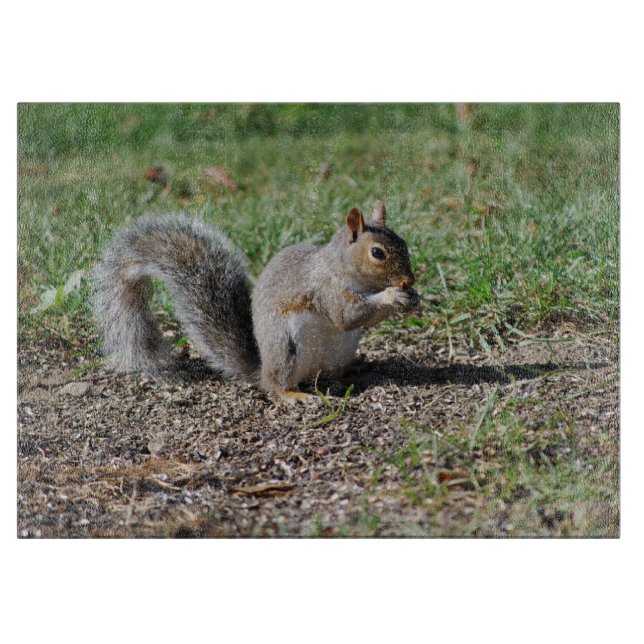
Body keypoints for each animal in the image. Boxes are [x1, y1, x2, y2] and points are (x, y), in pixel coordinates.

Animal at [92, 201, 420, 402]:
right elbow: (348, 315)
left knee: (325, 376)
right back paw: (293, 395)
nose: (409, 280)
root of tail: (260, 369)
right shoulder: (324, 289)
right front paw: (392, 296)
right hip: (284, 348)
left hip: (340, 351)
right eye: (377, 253)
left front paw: (412, 298)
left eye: (404, 242)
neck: (343, 267)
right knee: (275, 385)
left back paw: (350, 373)